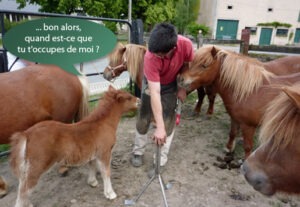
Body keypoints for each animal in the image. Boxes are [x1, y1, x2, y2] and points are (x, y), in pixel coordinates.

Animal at [9, 85, 139, 207]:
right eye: (128, 97)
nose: (139, 100)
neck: (103, 124)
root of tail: (27, 134)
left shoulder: (93, 152)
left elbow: (92, 165)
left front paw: (92, 182)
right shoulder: (104, 153)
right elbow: (106, 172)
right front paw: (110, 194)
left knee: (22, 185)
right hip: (38, 165)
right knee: (25, 188)